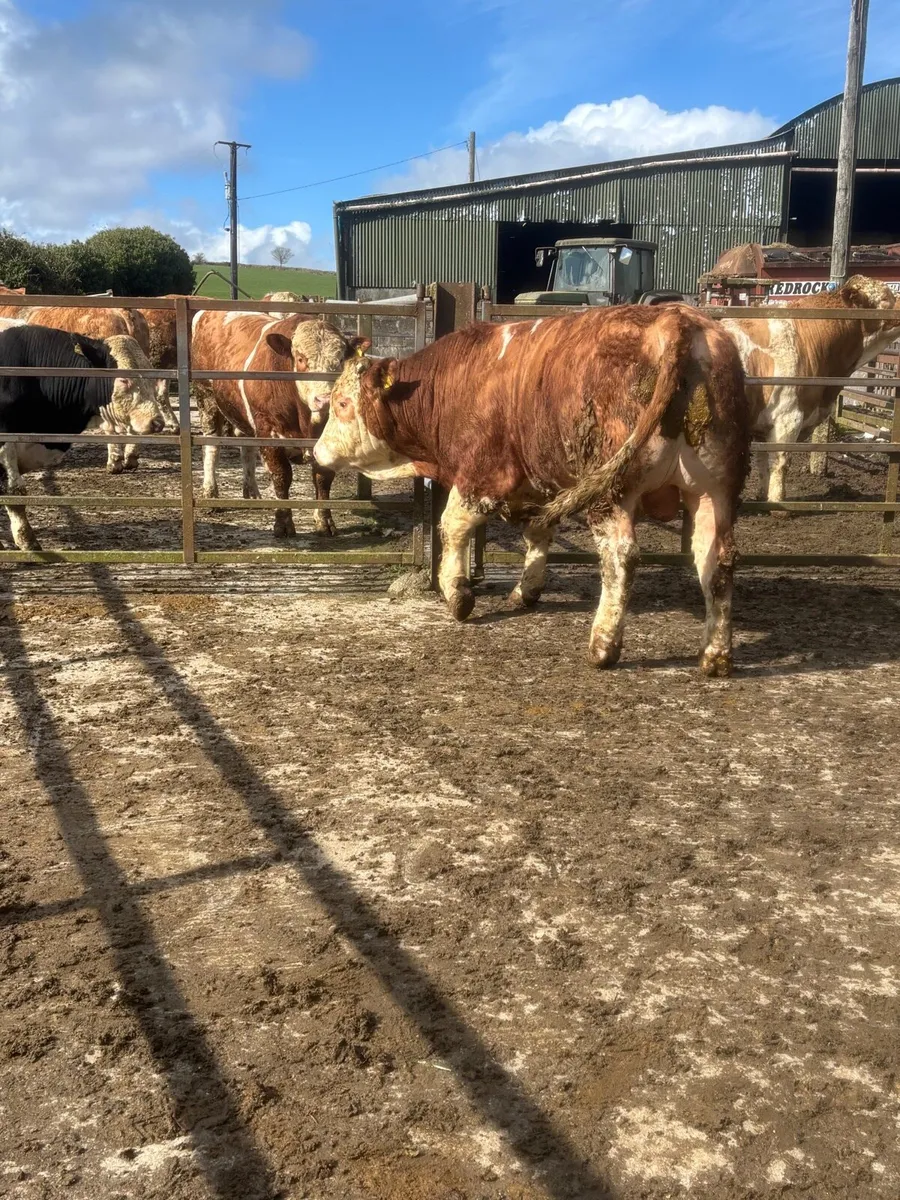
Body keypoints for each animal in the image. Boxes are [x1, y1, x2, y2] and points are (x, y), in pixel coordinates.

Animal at [190, 310, 369, 537]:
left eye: (340, 361)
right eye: (300, 359)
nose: (325, 400)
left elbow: (322, 478)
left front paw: (324, 521)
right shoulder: (269, 433)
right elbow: (281, 476)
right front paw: (283, 523)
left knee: (246, 448)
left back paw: (252, 493)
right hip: (206, 399)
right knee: (211, 446)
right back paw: (211, 493)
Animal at [314, 305, 751, 676]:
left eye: (342, 403)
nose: (317, 452)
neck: (458, 382)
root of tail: (677, 318)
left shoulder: (482, 475)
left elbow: (453, 527)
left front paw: (457, 594)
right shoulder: (537, 484)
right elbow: (538, 532)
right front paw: (527, 589)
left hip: (612, 493)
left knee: (621, 558)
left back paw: (603, 645)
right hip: (714, 491)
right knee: (717, 560)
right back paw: (715, 655)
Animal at [721, 275, 900, 502]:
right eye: (885, 298)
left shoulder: (763, 425)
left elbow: (763, 465)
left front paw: (761, 497)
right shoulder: (788, 418)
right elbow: (779, 465)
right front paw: (776, 502)